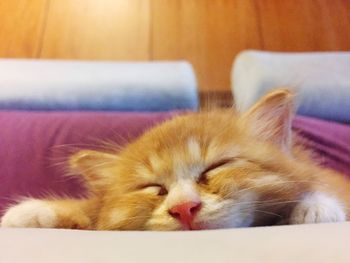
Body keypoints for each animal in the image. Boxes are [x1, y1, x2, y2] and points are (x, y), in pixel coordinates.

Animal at [0, 89, 350, 230]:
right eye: (154, 188)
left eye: (215, 168)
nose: (183, 208)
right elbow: (86, 210)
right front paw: (28, 213)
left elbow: (319, 188)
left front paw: (315, 207)